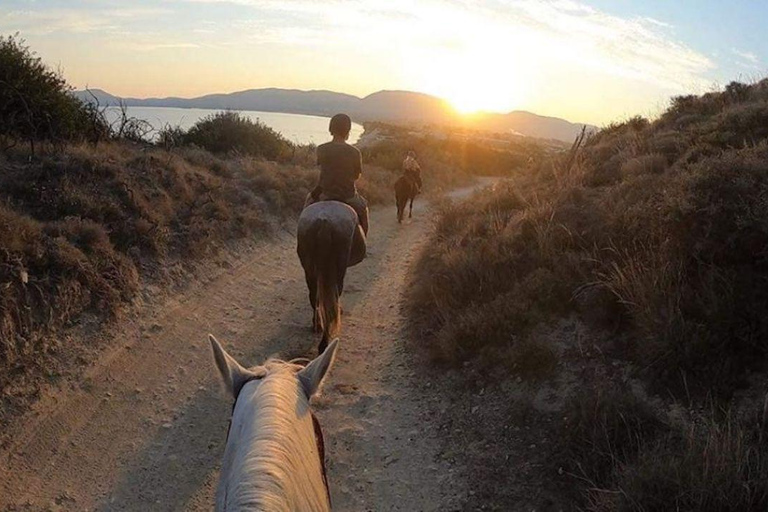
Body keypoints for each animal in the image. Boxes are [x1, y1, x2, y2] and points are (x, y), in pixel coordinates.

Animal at [296, 200, 364, 352]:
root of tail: (324, 221)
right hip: (338, 269)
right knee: (333, 301)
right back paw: (325, 341)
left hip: (309, 269)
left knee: (314, 297)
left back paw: (317, 326)